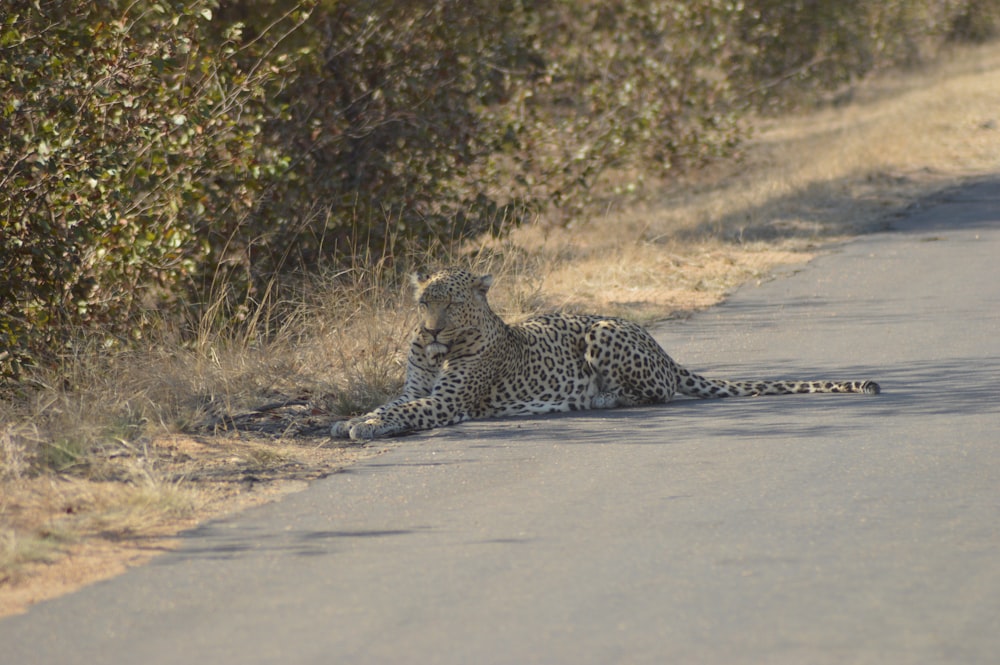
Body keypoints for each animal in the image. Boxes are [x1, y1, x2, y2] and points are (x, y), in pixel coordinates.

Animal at [332, 268, 880, 438]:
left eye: (453, 303)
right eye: (425, 302)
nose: (431, 331)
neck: (437, 354)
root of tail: (663, 348)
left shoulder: (448, 401)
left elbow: (404, 412)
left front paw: (366, 427)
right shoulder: (416, 388)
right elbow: (390, 404)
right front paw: (350, 421)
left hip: (602, 330)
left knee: (659, 393)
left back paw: (599, 399)